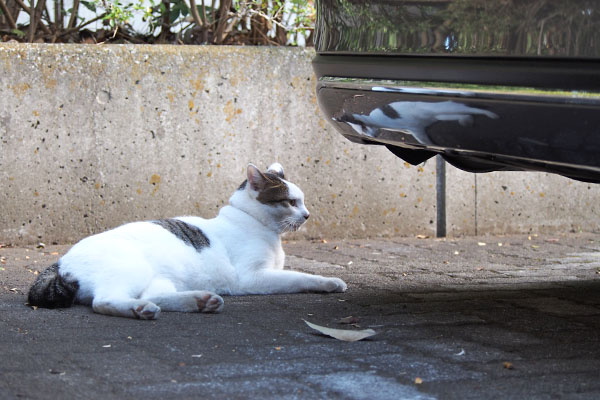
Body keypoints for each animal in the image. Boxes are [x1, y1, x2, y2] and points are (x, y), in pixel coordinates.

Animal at [28, 162, 346, 318]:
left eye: (302, 201)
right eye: (291, 202)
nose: (307, 215)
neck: (254, 223)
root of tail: (60, 263)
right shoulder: (252, 277)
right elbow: (299, 277)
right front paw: (329, 282)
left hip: (162, 279)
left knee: (154, 295)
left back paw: (200, 301)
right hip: (131, 269)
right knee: (104, 301)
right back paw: (140, 310)